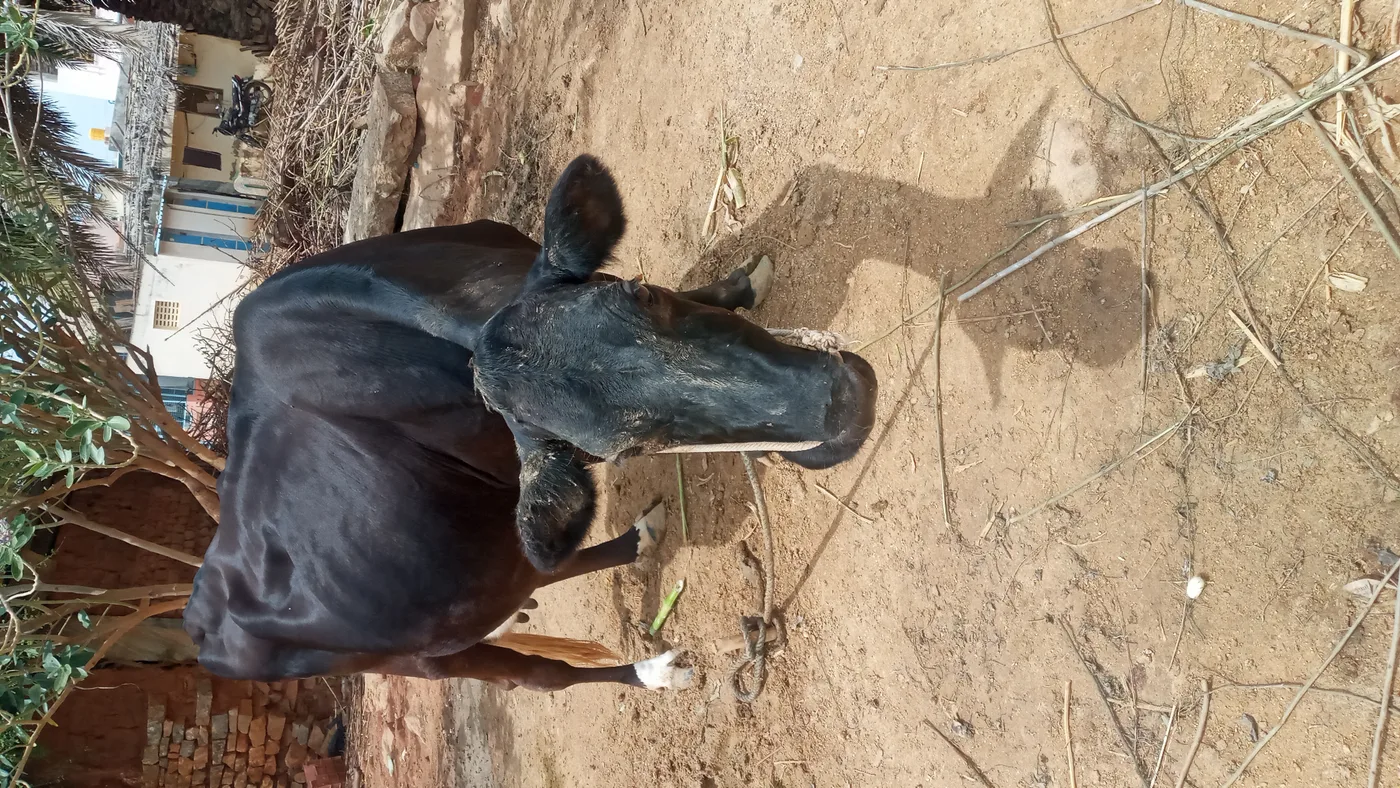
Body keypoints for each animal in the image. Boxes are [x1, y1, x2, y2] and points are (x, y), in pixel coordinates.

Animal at [184, 155, 878, 693]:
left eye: (643, 293)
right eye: (626, 449)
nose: (840, 404)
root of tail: (198, 616)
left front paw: (744, 282)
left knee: (542, 569)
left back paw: (641, 538)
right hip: (419, 659)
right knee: (544, 674)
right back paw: (653, 671)